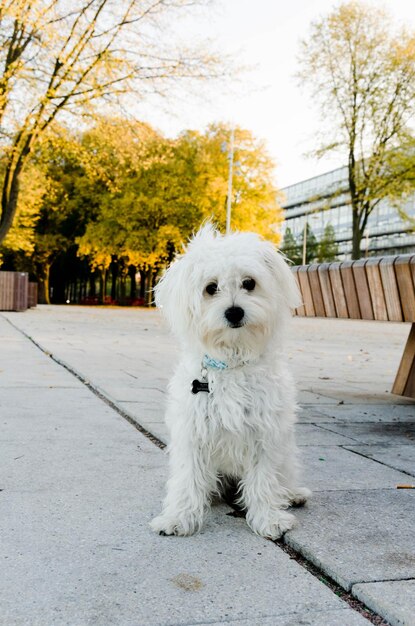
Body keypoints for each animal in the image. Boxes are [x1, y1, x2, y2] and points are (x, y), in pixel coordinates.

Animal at [151, 223, 310, 536]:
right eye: (211, 288)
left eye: (249, 283)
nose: (234, 311)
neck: (233, 362)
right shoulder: (193, 433)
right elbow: (188, 480)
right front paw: (178, 517)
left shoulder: (265, 434)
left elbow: (263, 480)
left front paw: (269, 518)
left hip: (286, 452)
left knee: (283, 477)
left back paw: (292, 494)